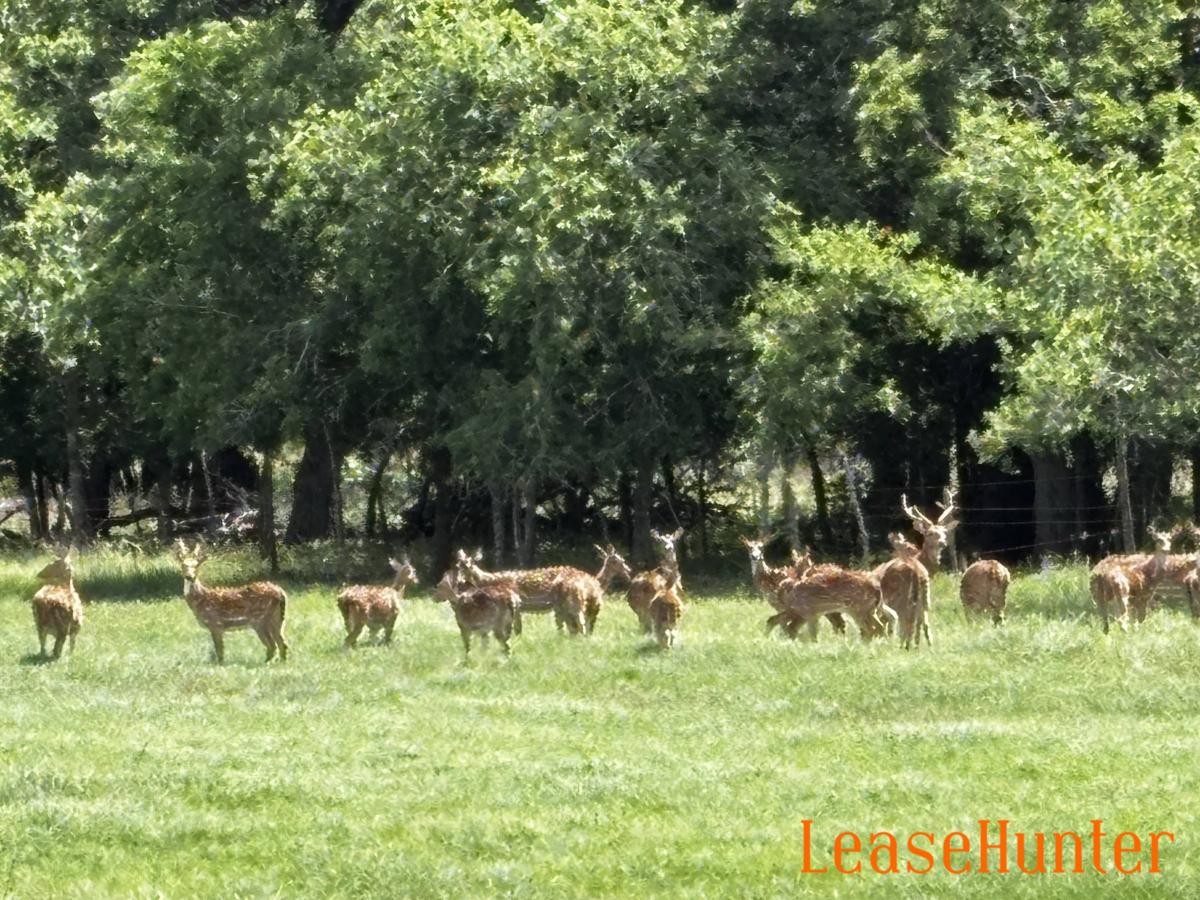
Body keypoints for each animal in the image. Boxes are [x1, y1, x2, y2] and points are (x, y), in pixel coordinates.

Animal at [455, 549, 601, 635]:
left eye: (468, 566)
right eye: (457, 566)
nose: (459, 582)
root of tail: (591, 584)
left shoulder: (517, 603)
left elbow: (517, 629)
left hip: (573, 602)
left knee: (580, 625)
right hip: (583, 606)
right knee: (582, 626)